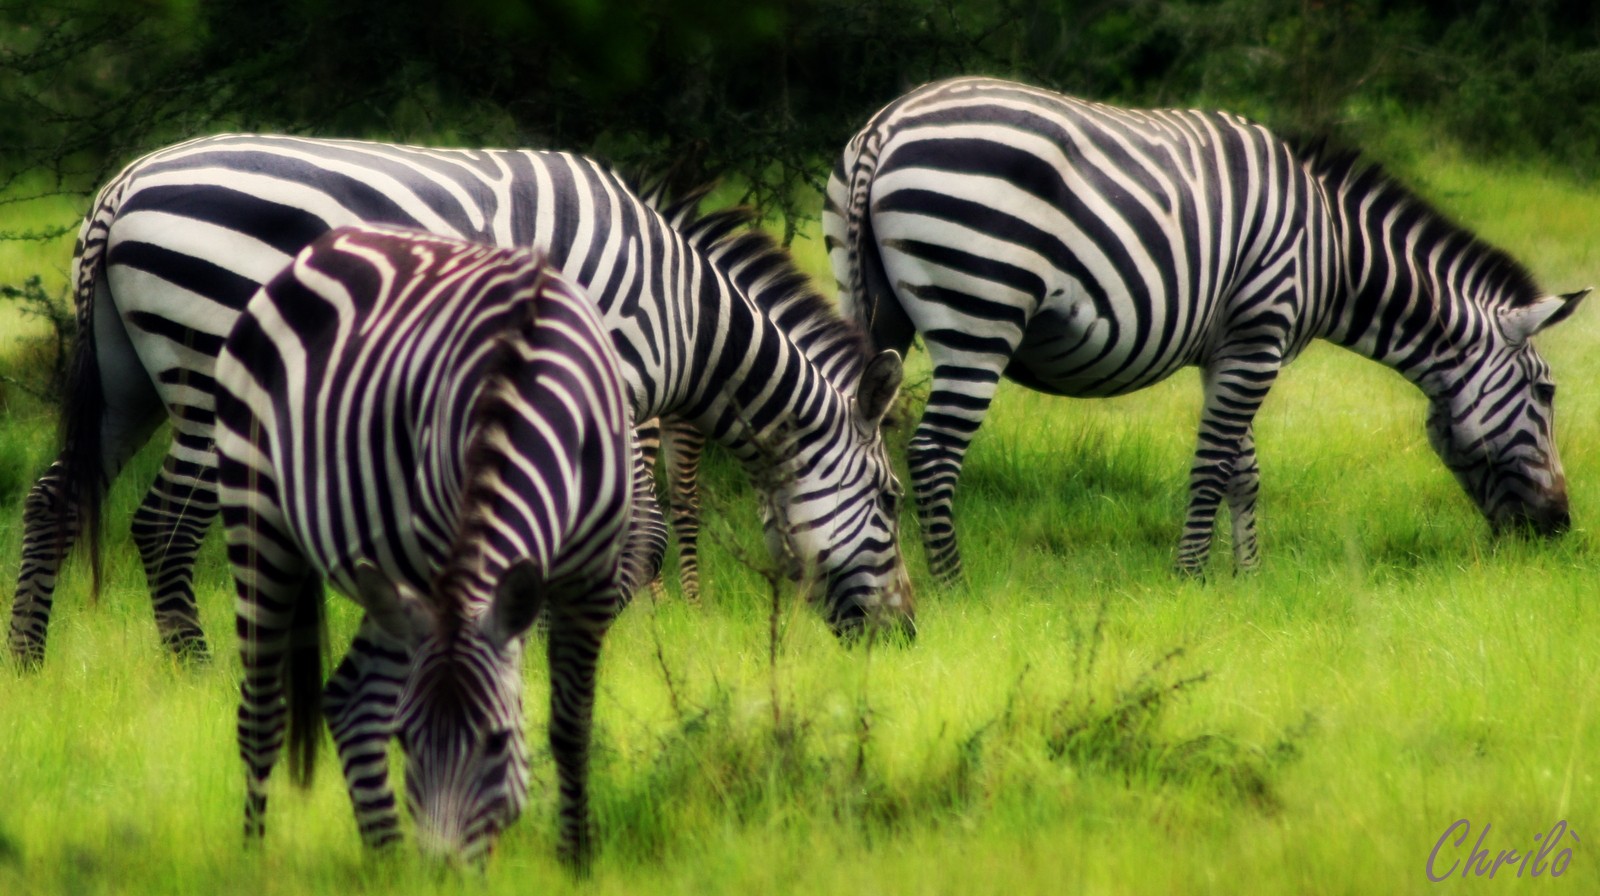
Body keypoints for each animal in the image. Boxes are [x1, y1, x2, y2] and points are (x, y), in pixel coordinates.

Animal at [8, 133, 912, 669]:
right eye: (890, 500)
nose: (905, 637)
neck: (685, 311)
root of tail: (120, 189)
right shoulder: (610, 381)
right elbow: (635, 536)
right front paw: (567, 648)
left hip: (125, 384)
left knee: (53, 497)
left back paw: (28, 657)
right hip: (206, 374)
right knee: (163, 528)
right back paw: (194, 669)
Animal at [215, 225, 635, 865]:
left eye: (498, 741)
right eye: (407, 741)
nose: (442, 871)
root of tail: (318, 248)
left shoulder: (593, 579)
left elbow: (571, 727)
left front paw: (578, 859)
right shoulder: (445, 555)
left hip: (387, 578)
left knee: (352, 701)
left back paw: (387, 859)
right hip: (256, 516)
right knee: (263, 716)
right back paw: (252, 859)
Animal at [823, 76, 1586, 583]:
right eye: (1545, 393)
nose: (1560, 529)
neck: (1333, 250)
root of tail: (886, 128)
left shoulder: (1233, 347)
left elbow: (1243, 468)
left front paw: (1247, 578)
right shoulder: (1261, 333)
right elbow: (1214, 462)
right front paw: (1190, 575)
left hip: (874, 303)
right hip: (978, 310)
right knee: (933, 453)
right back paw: (952, 583)